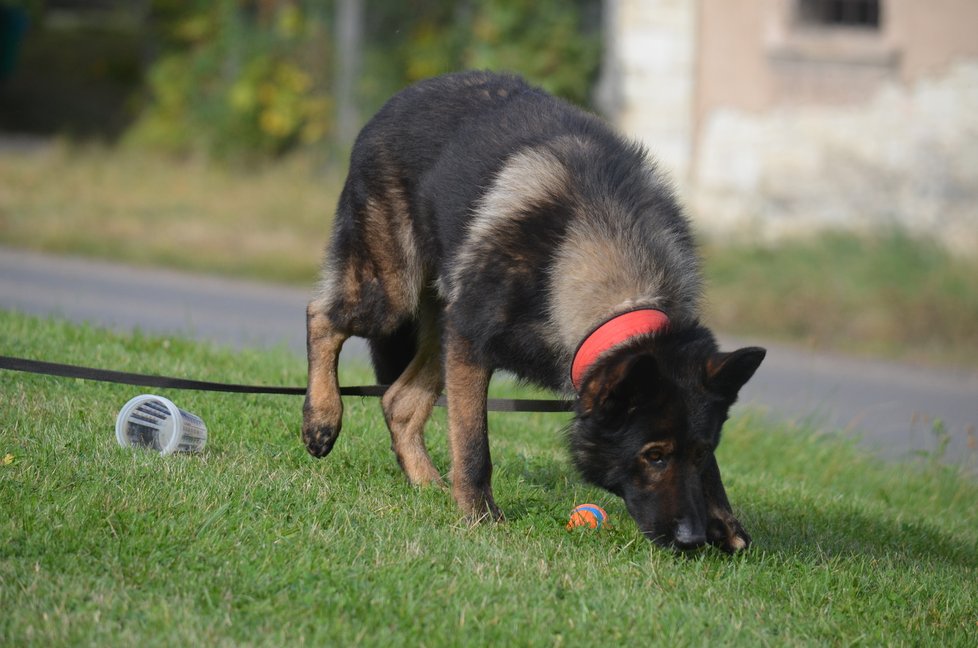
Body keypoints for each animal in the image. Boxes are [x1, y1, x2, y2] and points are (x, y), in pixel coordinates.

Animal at [302, 73, 768, 556]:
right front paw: (480, 516)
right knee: (322, 315)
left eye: (701, 452)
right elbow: (473, 446)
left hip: (439, 325)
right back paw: (322, 418)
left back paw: (427, 483)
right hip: (392, 298)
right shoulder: (471, 347)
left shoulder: (463, 339)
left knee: (398, 401)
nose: (692, 538)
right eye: (653, 456)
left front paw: (725, 520)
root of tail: (399, 99)